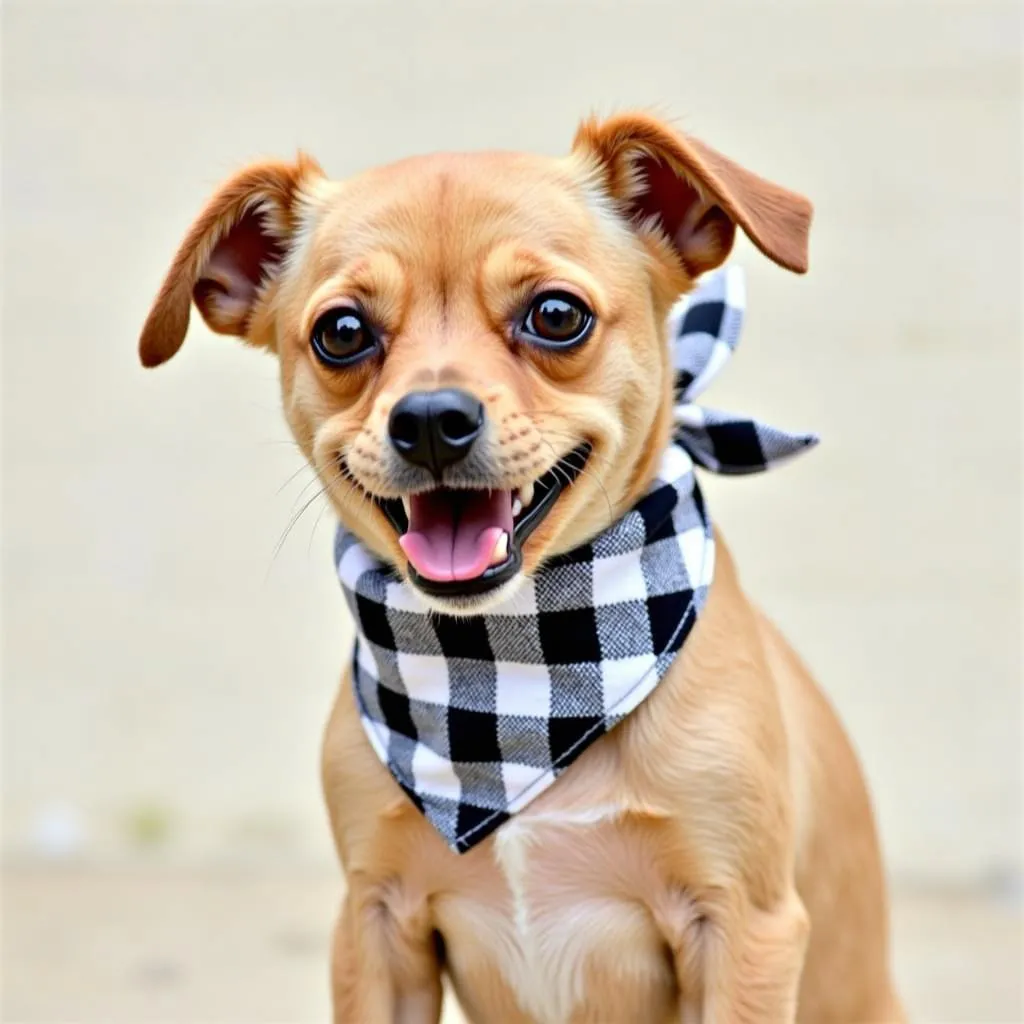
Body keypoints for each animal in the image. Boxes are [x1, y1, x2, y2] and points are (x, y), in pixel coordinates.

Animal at [138, 112, 905, 1024]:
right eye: (343, 333)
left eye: (556, 315)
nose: (431, 419)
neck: (518, 676)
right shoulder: (375, 925)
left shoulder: (747, 932)